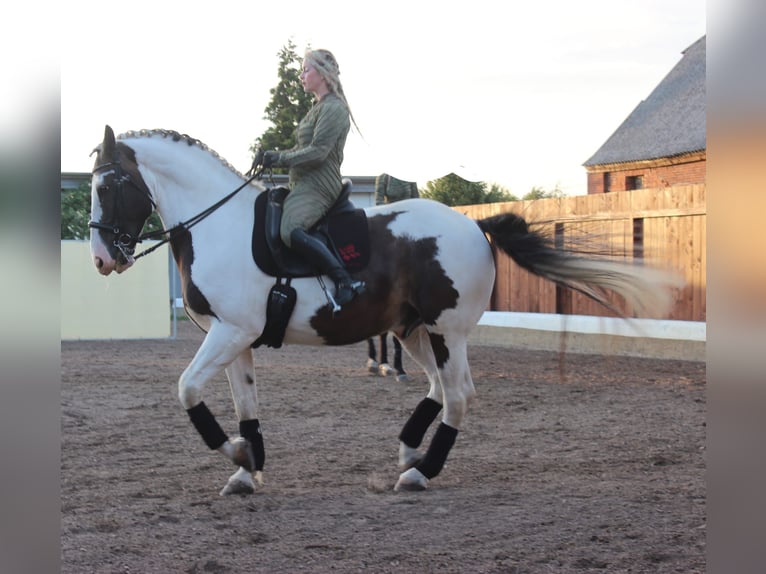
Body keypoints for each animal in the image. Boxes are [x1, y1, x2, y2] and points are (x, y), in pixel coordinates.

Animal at [87, 125, 680, 496]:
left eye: (109, 185)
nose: (101, 258)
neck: (219, 225)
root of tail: (472, 224)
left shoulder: (230, 333)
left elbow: (187, 389)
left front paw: (235, 456)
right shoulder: (232, 337)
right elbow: (245, 406)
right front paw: (247, 468)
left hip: (446, 331)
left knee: (458, 396)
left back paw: (421, 472)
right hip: (414, 330)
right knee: (440, 389)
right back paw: (410, 452)